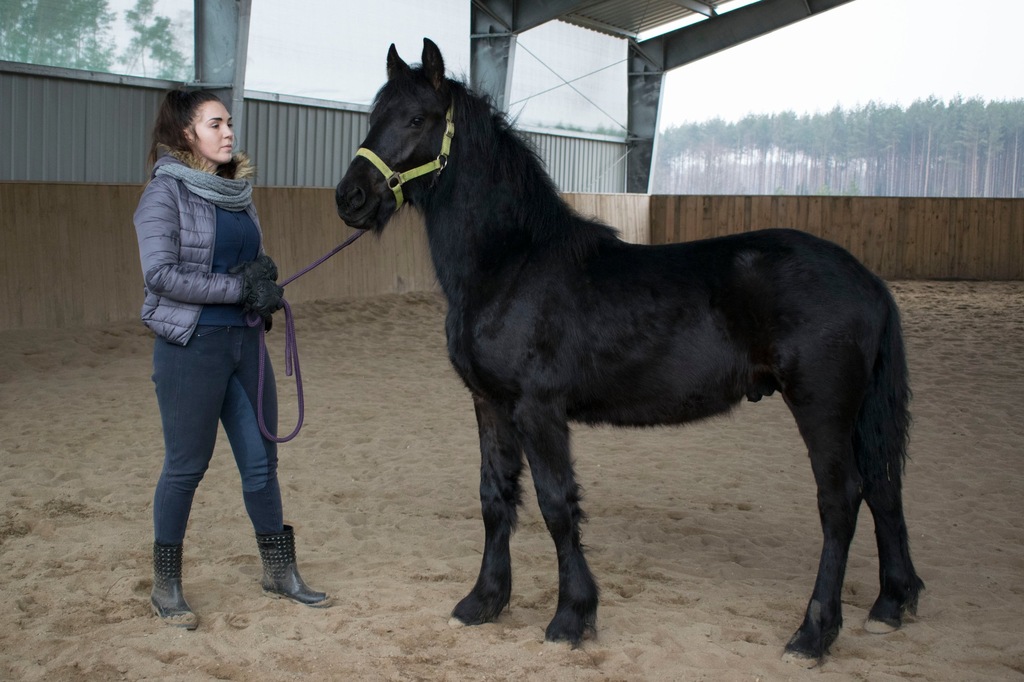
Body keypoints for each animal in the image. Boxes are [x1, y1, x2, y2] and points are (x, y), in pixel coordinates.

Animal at [333, 38, 921, 663]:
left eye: (418, 119)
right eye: (374, 116)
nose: (350, 198)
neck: (510, 264)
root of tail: (866, 278)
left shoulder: (539, 410)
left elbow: (556, 504)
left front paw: (572, 616)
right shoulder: (489, 404)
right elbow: (496, 498)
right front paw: (483, 602)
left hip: (821, 407)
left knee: (841, 501)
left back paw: (813, 633)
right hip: (855, 413)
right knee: (883, 487)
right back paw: (890, 605)